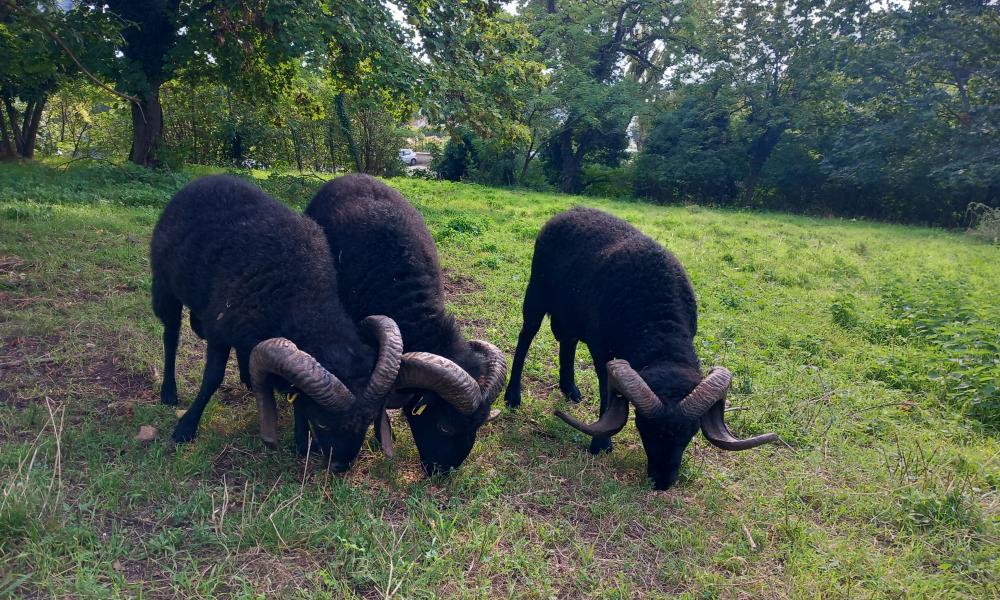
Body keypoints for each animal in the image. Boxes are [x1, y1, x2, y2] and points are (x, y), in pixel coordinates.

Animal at [150, 175, 400, 474]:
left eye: (369, 419)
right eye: (324, 421)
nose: (340, 466)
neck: (301, 295)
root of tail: (202, 180)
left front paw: (302, 441)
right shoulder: (219, 332)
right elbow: (211, 379)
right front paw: (186, 427)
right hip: (165, 288)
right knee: (171, 336)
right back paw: (169, 391)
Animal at [504, 209, 776, 490]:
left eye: (691, 432)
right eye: (643, 427)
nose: (662, 483)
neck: (657, 323)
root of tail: (569, 211)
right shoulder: (600, 348)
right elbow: (606, 391)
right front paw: (601, 444)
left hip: (571, 312)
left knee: (568, 342)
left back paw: (570, 389)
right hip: (535, 297)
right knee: (525, 339)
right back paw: (513, 396)